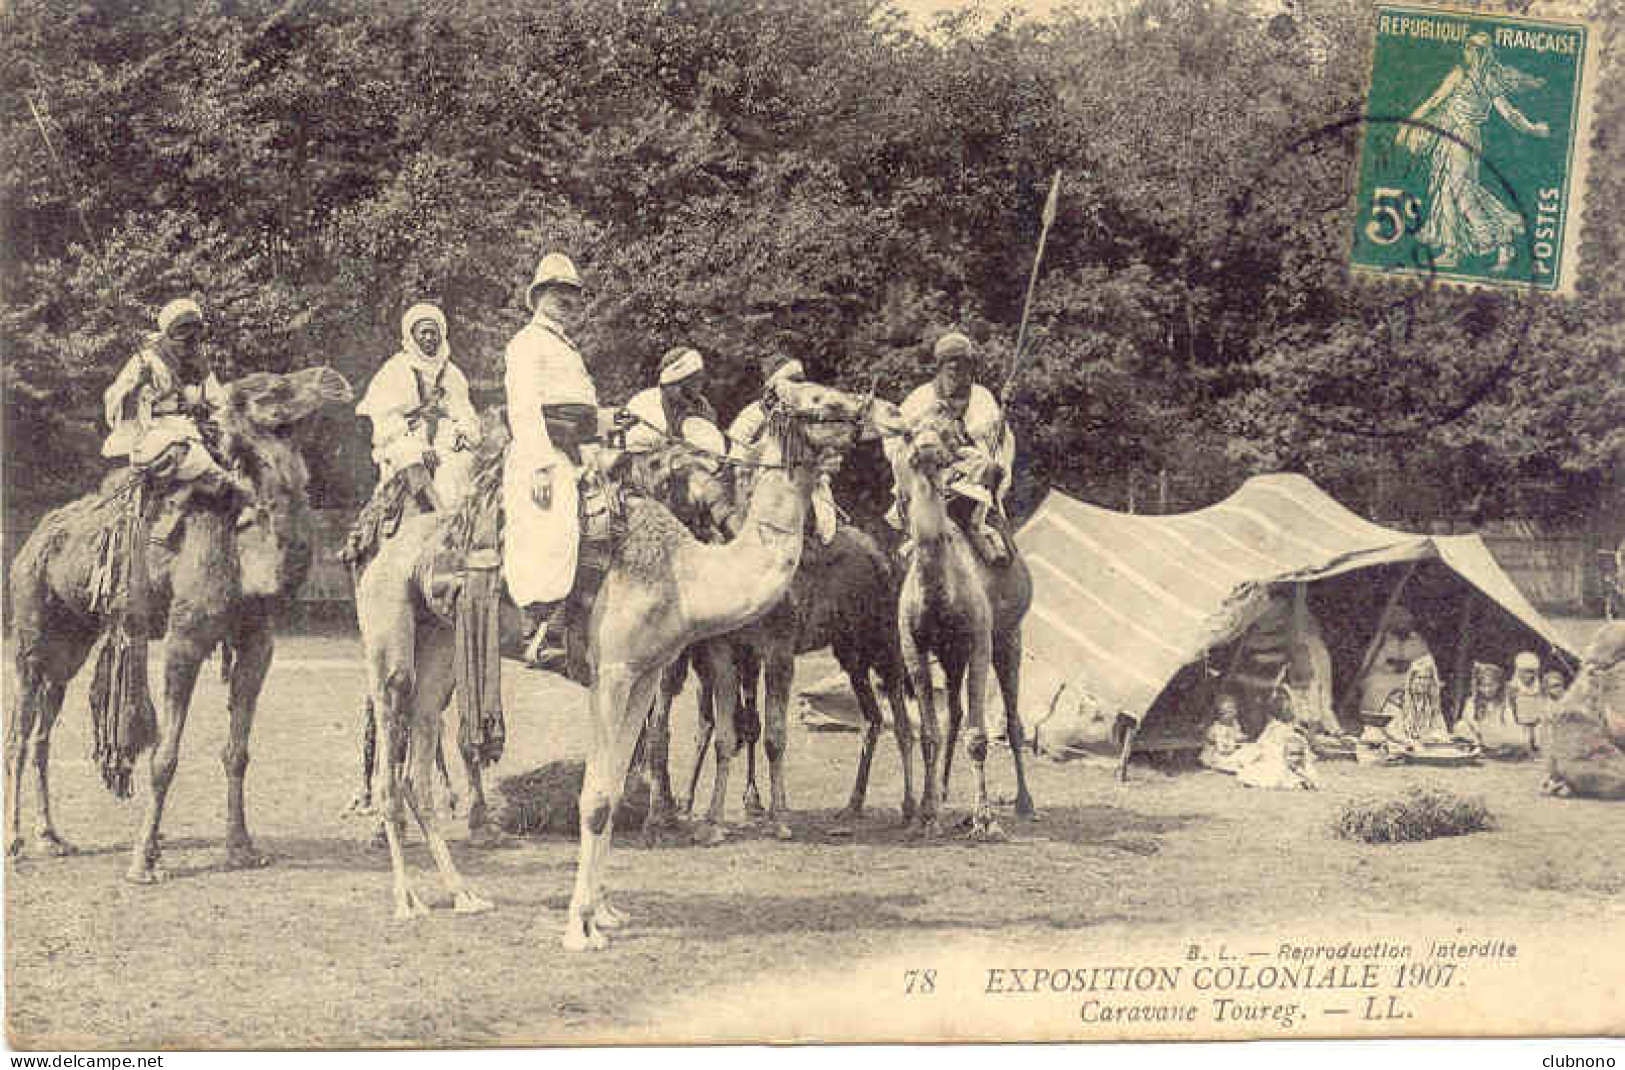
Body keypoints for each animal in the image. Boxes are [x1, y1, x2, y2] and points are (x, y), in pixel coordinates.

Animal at [8, 362, 352, 878]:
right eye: (271, 389)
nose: (336, 380)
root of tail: (32, 541)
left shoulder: (258, 642)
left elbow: (237, 752)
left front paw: (241, 848)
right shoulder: (185, 636)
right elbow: (163, 757)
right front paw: (142, 860)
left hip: (72, 641)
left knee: (44, 729)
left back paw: (52, 838)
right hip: (30, 626)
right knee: (19, 732)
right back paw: (15, 843)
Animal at [890, 408, 1027, 832]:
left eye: (949, 436)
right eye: (907, 432)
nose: (926, 447)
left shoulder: (979, 640)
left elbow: (979, 737)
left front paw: (984, 819)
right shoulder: (914, 647)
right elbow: (930, 734)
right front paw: (927, 813)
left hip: (1009, 637)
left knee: (1013, 721)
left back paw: (1026, 804)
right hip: (950, 656)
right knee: (953, 715)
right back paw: (945, 792)